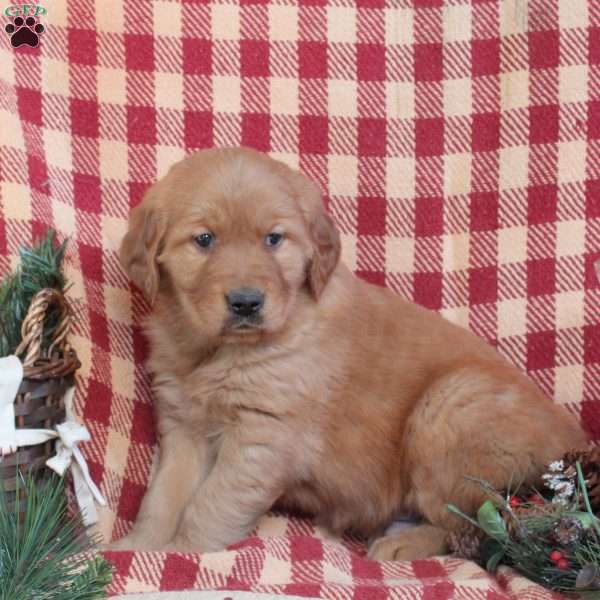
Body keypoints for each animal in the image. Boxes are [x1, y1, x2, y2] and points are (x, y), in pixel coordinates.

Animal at [112, 148, 584, 560]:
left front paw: (184, 553)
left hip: (449, 404)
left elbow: (211, 503)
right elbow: (163, 497)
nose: (246, 303)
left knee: (473, 522)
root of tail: (575, 442)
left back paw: (404, 544)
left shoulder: (261, 435)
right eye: (204, 240)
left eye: (273, 239)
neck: (216, 352)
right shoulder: (184, 427)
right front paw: (139, 549)